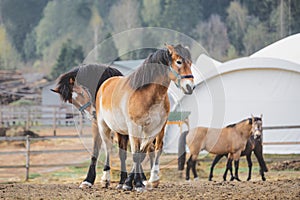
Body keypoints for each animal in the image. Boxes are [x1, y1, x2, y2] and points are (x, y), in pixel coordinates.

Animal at [64, 43, 195, 191]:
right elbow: (136, 153)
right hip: (104, 126)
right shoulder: (134, 127)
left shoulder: (154, 129)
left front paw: (135, 182)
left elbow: (142, 152)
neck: (147, 95)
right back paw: (105, 179)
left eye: (190, 63)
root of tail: (106, 83)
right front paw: (134, 183)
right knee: (108, 148)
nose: (190, 86)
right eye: (179, 62)